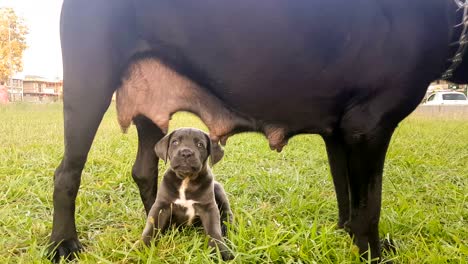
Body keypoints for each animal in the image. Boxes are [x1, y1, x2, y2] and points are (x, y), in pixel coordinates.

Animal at [140, 127, 233, 260]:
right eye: (175, 142)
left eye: (200, 145)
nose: (186, 153)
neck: (186, 180)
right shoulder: (161, 206)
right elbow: (151, 227)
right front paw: (143, 247)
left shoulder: (208, 208)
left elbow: (214, 230)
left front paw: (221, 252)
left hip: (218, 188)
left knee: (226, 212)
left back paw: (227, 227)